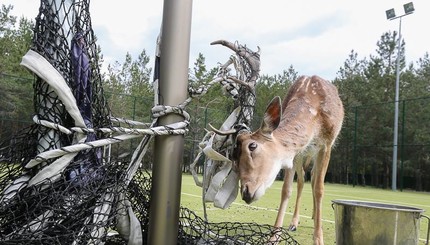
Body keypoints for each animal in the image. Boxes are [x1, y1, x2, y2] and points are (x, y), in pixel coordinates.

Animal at [230, 75, 344, 244]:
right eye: (234, 157)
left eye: (252, 146)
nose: (246, 193)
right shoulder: (294, 153)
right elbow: (286, 190)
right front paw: (273, 237)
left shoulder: (327, 144)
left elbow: (320, 189)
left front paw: (318, 238)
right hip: (304, 155)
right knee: (304, 179)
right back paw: (295, 222)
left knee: (314, 178)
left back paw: (314, 218)